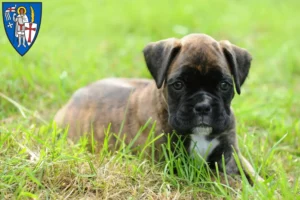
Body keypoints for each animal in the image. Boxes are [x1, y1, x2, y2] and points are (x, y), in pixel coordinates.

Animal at [54, 34, 262, 183]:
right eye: (178, 85)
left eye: (224, 85)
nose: (203, 106)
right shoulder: (174, 166)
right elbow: (220, 179)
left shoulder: (231, 154)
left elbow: (250, 172)